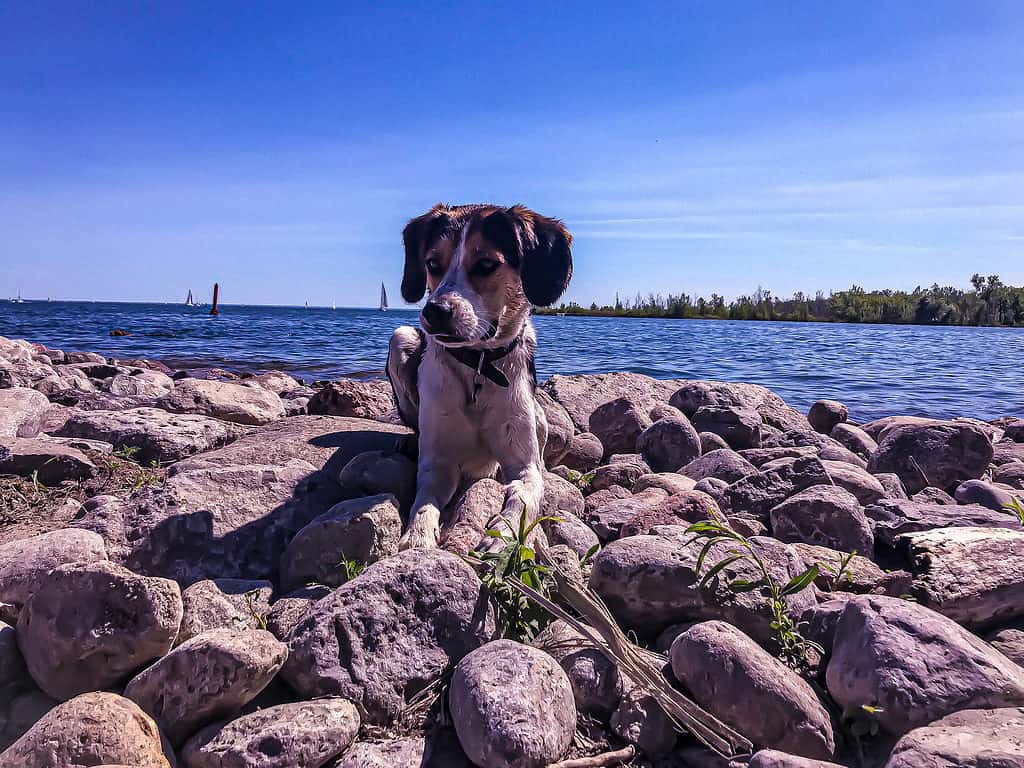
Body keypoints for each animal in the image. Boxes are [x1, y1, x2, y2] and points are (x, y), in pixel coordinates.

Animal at [385, 202, 573, 552]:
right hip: (401, 338)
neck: (479, 365)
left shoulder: (524, 466)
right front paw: (417, 536)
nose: (434, 311)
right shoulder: (438, 462)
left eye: (486, 264)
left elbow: (523, 498)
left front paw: (503, 535)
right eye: (432, 263)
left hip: (539, 416)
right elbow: (424, 502)